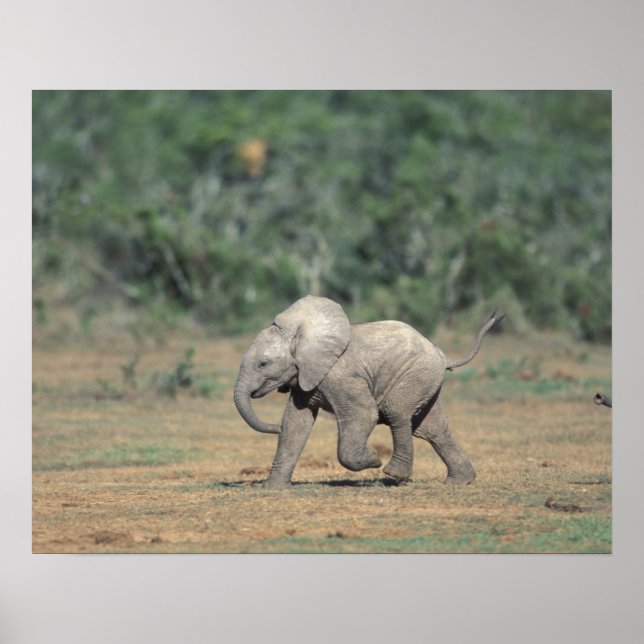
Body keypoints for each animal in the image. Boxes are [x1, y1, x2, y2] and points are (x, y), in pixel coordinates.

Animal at [233, 295, 503, 488]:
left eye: (263, 364)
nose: (273, 427)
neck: (302, 336)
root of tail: (442, 355)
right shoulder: (306, 377)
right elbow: (295, 424)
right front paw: (273, 488)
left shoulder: (340, 376)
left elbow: (363, 414)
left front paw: (373, 459)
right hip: (426, 381)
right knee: (432, 429)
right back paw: (459, 481)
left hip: (414, 375)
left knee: (398, 413)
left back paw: (393, 474)